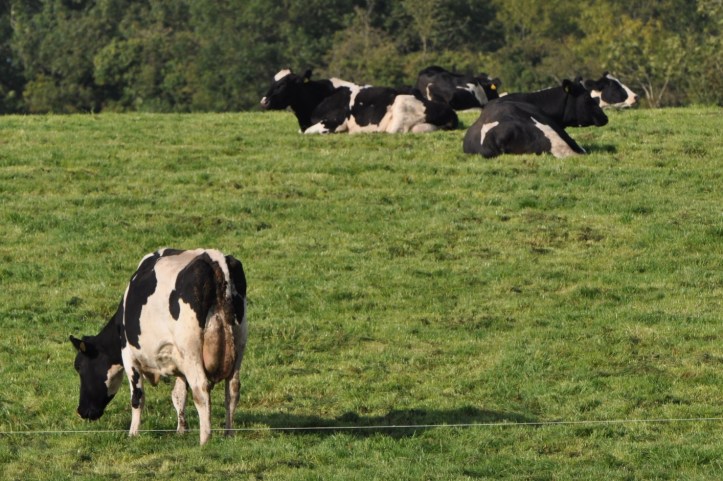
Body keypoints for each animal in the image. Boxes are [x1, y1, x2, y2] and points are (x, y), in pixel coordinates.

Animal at [70, 248, 247, 445]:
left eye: (80, 367)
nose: (81, 411)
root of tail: (214, 258)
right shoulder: (178, 360)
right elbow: (178, 395)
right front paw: (181, 430)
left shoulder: (129, 356)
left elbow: (137, 397)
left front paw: (133, 434)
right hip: (238, 345)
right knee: (232, 389)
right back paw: (228, 434)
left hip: (191, 350)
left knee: (201, 389)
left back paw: (205, 439)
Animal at [260, 68, 458, 134]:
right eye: (272, 81)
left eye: (283, 85)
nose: (264, 101)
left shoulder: (334, 122)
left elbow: (308, 132)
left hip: (400, 108)